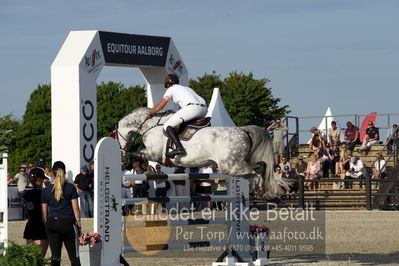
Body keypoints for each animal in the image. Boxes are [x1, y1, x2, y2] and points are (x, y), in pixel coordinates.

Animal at [115, 106, 288, 195]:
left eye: (116, 135)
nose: (121, 154)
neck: (150, 125)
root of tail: (244, 130)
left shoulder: (154, 153)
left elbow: (138, 153)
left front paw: (147, 169)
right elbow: (139, 152)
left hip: (231, 166)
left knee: (258, 169)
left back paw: (260, 187)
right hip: (234, 166)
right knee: (256, 169)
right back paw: (258, 187)